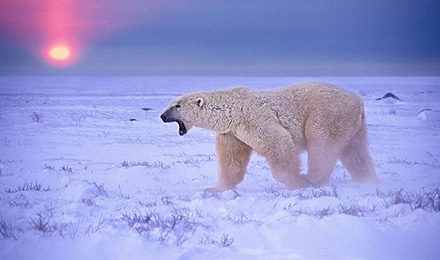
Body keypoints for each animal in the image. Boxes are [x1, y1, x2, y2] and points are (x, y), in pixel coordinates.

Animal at [162, 82, 378, 191]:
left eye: (177, 105)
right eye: (172, 104)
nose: (162, 116)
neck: (232, 108)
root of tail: (359, 102)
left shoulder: (253, 117)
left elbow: (278, 142)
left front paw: (295, 182)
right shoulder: (231, 132)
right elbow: (231, 159)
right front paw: (214, 189)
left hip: (327, 113)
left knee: (322, 145)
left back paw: (310, 179)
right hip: (353, 124)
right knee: (355, 152)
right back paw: (368, 179)